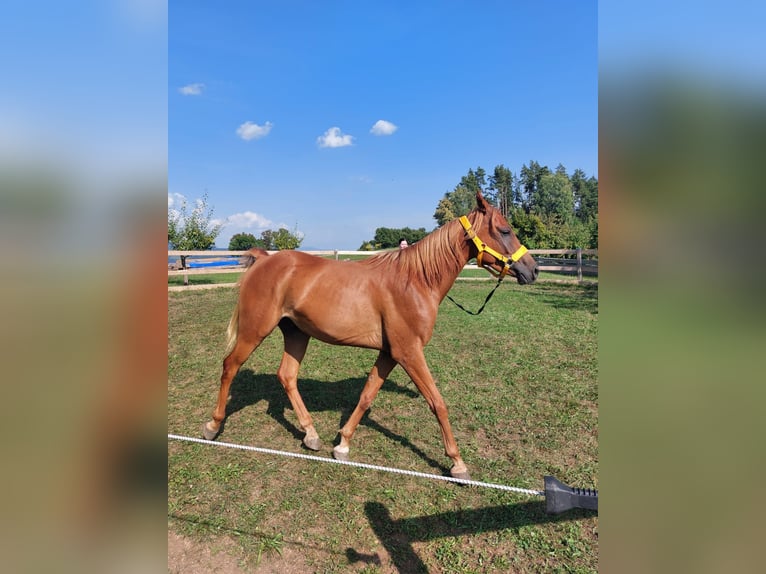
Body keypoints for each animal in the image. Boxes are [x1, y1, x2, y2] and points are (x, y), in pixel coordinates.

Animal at [201, 190, 538, 479]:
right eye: (504, 230)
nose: (532, 270)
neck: (415, 281)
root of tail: (265, 259)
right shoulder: (408, 352)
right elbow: (437, 402)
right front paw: (457, 463)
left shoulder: (390, 353)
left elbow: (366, 396)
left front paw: (342, 444)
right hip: (254, 330)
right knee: (230, 366)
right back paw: (213, 426)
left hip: (296, 334)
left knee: (287, 376)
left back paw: (311, 434)